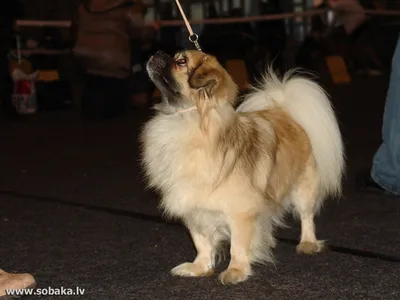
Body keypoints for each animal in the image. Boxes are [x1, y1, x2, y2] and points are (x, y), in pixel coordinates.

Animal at [141, 50, 344, 284]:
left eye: (181, 62)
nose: (157, 53)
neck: (186, 118)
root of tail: (284, 112)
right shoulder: (194, 208)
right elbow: (201, 243)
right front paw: (199, 267)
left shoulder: (240, 211)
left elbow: (237, 246)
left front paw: (236, 271)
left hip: (304, 188)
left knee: (306, 216)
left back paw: (308, 243)